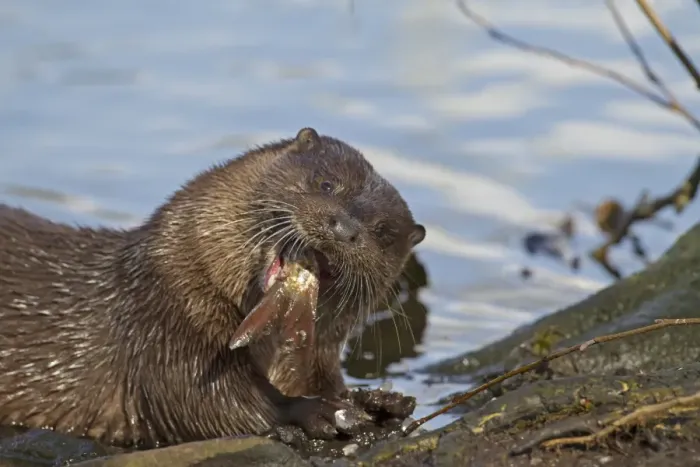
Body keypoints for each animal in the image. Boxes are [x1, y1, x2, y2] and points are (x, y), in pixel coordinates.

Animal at [0, 128, 426, 447]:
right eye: (326, 183)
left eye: (383, 233)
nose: (345, 228)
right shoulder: (164, 328)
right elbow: (204, 402)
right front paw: (314, 410)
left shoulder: (317, 356)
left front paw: (381, 401)